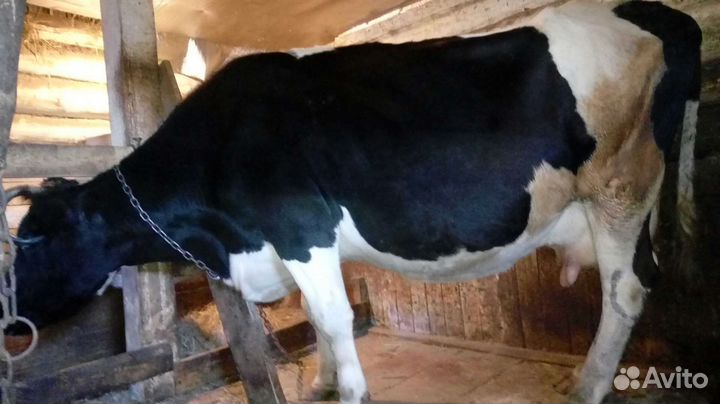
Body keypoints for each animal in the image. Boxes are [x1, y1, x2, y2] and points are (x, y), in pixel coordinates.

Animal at [6, 1, 701, 403]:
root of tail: (658, 12)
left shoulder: (301, 229)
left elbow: (334, 320)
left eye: (33, 243)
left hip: (620, 185)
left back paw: (587, 387)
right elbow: (317, 322)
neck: (225, 242)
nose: (12, 323)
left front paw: (350, 390)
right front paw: (321, 383)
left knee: (624, 291)